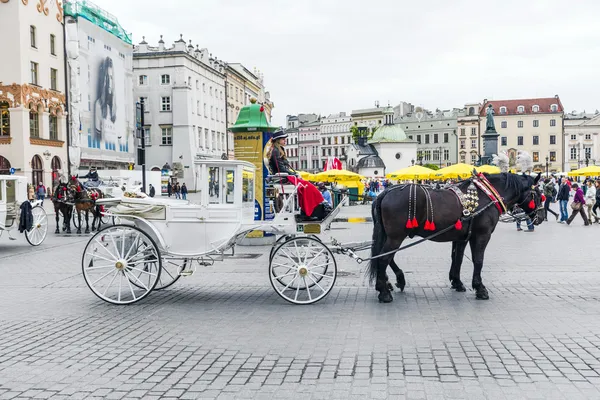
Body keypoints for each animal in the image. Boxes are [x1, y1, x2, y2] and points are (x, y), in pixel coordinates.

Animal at [368, 172, 548, 304]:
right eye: (539, 194)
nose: (541, 216)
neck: (487, 196)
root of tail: (385, 193)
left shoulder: (462, 237)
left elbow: (458, 258)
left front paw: (457, 282)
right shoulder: (481, 235)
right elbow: (478, 260)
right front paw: (480, 288)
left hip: (391, 235)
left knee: (384, 257)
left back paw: (394, 281)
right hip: (396, 236)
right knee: (383, 258)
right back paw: (384, 292)